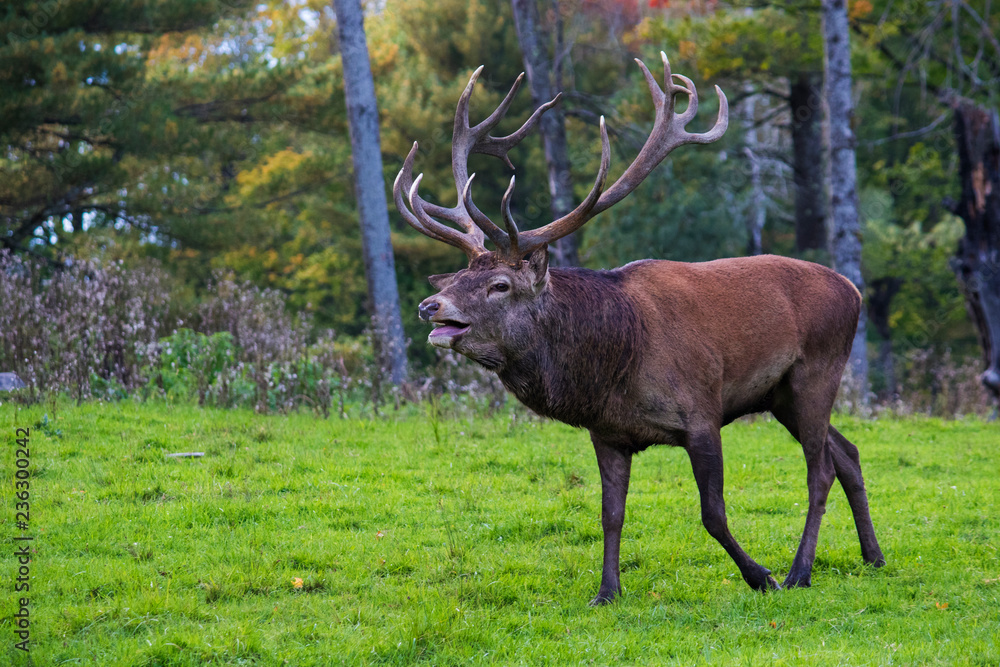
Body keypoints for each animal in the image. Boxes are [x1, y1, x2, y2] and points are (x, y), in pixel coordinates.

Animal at [394, 52, 885, 605]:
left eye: (499, 285)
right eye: (458, 276)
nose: (429, 305)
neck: (615, 364)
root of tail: (854, 291)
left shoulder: (701, 412)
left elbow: (713, 514)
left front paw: (762, 576)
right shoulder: (608, 432)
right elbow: (611, 514)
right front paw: (607, 591)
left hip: (817, 372)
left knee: (819, 469)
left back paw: (800, 571)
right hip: (779, 394)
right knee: (847, 453)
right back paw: (873, 555)